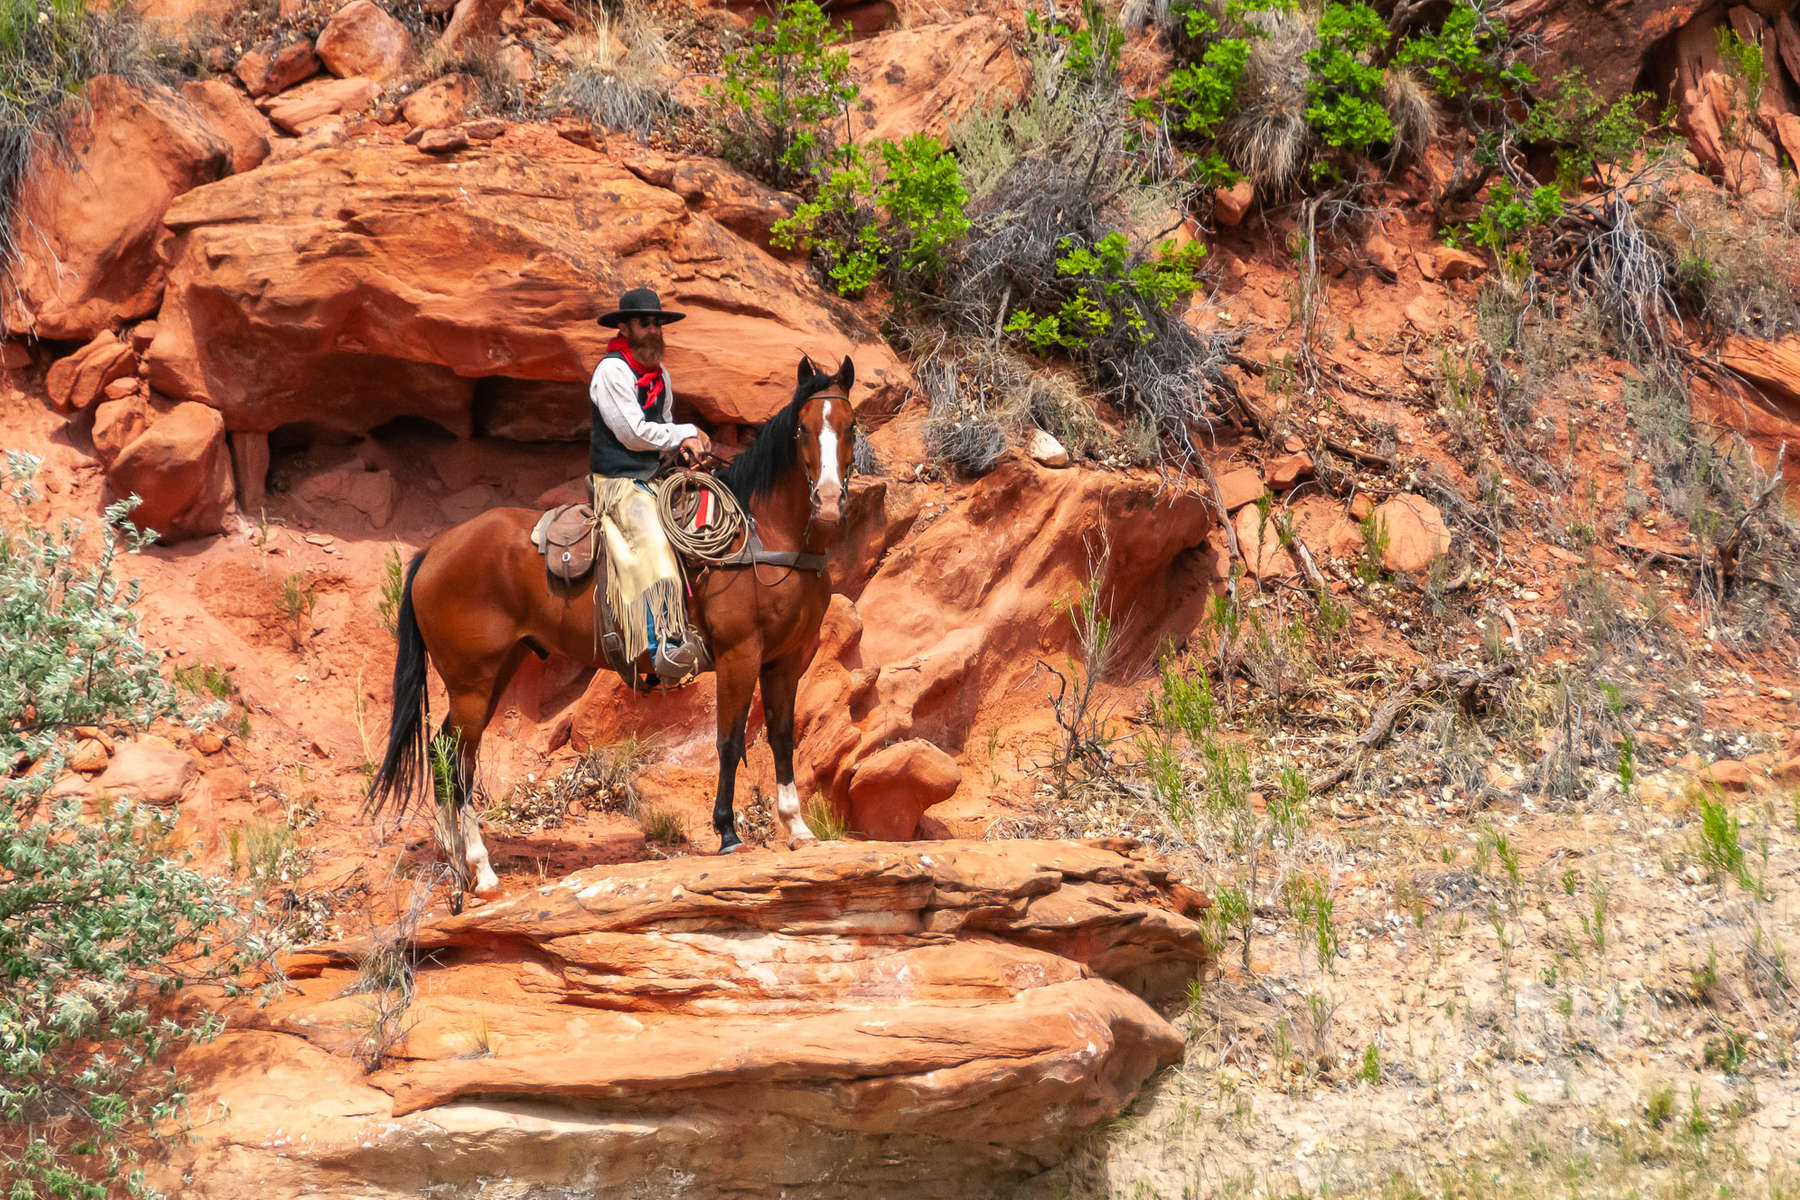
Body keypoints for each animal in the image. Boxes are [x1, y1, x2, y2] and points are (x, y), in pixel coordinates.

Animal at [367, 352, 856, 895]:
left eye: (851, 425)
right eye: (802, 428)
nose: (829, 500)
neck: (762, 538)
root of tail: (434, 551)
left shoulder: (785, 661)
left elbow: (782, 738)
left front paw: (798, 828)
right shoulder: (740, 654)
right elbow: (729, 742)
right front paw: (728, 832)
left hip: (492, 675)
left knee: (447, 754)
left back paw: (457, 860)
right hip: (472, 683)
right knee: (457, 759)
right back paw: (481, 867)